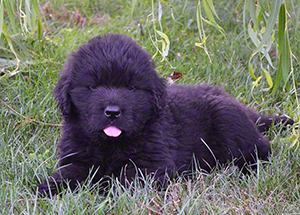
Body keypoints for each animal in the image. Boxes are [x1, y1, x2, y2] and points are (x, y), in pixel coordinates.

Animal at [38, 34, 294, 197]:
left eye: (131, 88)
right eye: (93, 87)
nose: (112, 112)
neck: (111, 144)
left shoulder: (152, 166)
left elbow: (126, 181)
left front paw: (108, 189)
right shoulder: (75, 157)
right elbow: (68, 174)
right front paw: (49, 188)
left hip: (227, 121)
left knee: (261, 149)